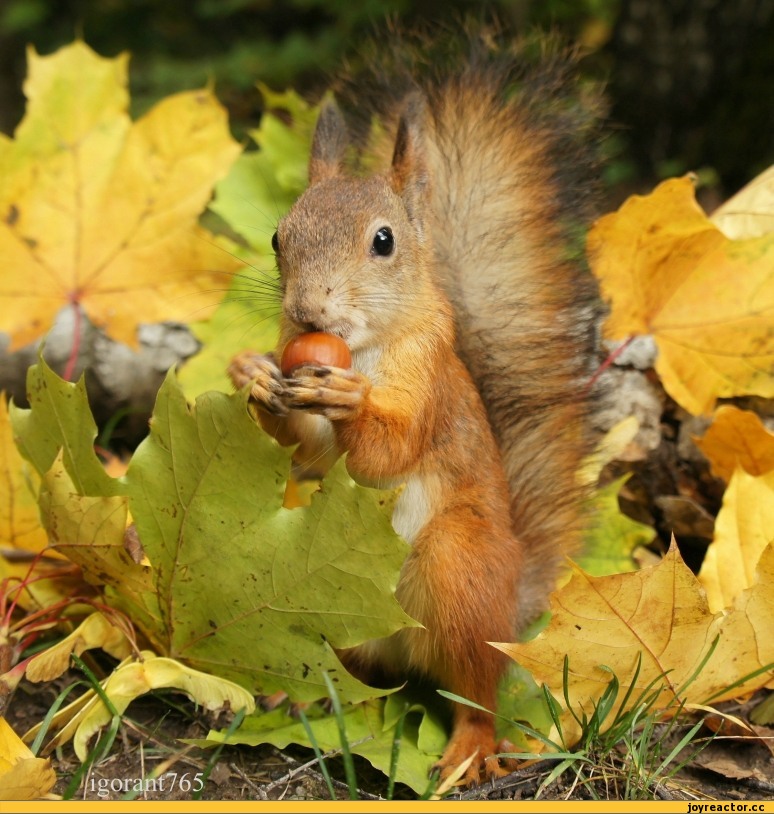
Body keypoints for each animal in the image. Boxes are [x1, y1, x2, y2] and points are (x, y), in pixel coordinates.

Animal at [227, 28, 604, 788]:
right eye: (280, 237)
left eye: (384, 241)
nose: (307, 310)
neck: (366, 348)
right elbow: (307, 452)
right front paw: (253, 376)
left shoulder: (429, 386)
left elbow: (390, 452)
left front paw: (349, 403)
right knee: (351, 668)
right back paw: (300, 689)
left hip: (458, 570)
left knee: (477, 692)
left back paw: (469, 751)